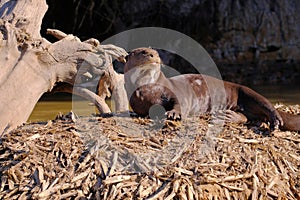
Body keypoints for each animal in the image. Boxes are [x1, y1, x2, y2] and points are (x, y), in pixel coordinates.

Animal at [123, 46, 300, 131]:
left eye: (155, 52)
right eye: (143, 52)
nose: (154, 55)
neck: (149, 90)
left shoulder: (175, 93)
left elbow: (179, 103)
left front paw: (174, 113)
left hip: (246, 91)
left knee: (266, 105)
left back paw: (275, 120)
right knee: (251, 118)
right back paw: (229, 115)